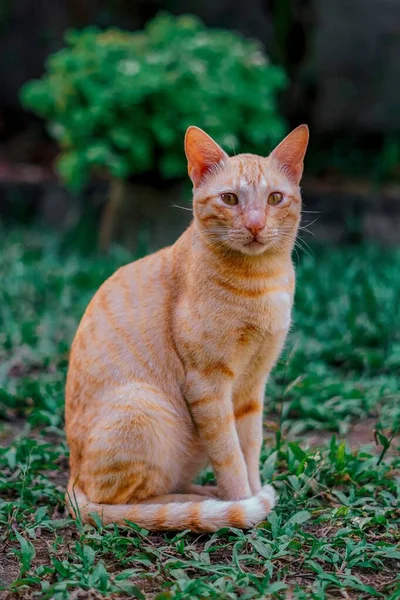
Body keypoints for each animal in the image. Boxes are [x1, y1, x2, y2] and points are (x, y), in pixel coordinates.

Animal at [65, 124, 310, 532]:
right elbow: (229, 456)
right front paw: (243, 505)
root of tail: (72, 473)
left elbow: (249, 448)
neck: (262, 280)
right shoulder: (208, 384)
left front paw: (253, 494)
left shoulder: (252, 387)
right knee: (126, 503)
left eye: (275, 198)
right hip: (143, 405)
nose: (256, 224)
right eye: (230, 199)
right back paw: (202, 503)